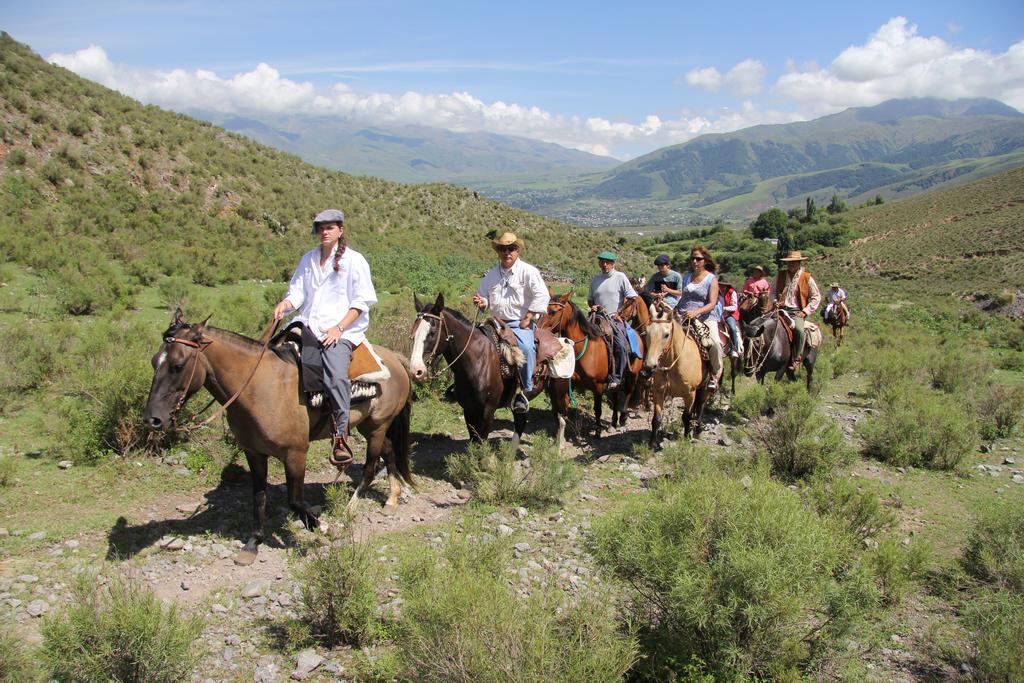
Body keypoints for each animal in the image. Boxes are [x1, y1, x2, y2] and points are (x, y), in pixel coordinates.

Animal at [142, 311, 413, 565]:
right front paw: (253, 543)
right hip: (369, 426)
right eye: (154, 362)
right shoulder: (254, 453)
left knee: (369, 467)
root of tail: (395, 358)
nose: (152, 419)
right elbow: (259, 497)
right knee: (389, 451)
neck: (260, 388)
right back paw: (391, 499)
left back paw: (349, 510)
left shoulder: (295, 453)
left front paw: (324, 527)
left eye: (178, 365)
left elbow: (295, 500)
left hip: (377, 426)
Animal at [540, 292, 643, 438]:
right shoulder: (569, 383)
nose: (538, 331)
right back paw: (613, 423)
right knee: (616, 394)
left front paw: (598, 431)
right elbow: (563, 408)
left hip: (633, 373)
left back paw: (623, 418)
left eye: (553, 312)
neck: (586, 349)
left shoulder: (598, 387)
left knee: (628, 391)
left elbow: (597, 409)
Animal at [638, 301, 712, 446]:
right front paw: (652, 444)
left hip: (705, 388)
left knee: (701, 407)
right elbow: (656, 419)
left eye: (666, 334)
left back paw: (697, 431)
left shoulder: (690, 394)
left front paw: (686, 437)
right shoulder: (658, 392)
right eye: (646, 333)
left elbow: (686, 416)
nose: (648, 368)